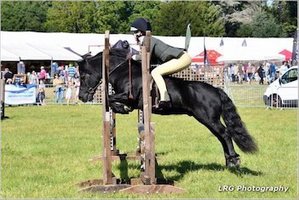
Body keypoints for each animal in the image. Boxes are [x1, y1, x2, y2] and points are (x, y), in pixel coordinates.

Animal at [78, 47, 258, 167]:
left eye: (83, 75)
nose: (81, 97)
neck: (123, 71)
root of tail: (216, 90)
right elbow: (112, 103)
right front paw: (121, 109)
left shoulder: (129, 96)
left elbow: (109, 98)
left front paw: (121, 108)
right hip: (207, 120)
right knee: (221, 136)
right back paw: (228, 162)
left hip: (208, 118)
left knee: (225, 134)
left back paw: (234, 160)